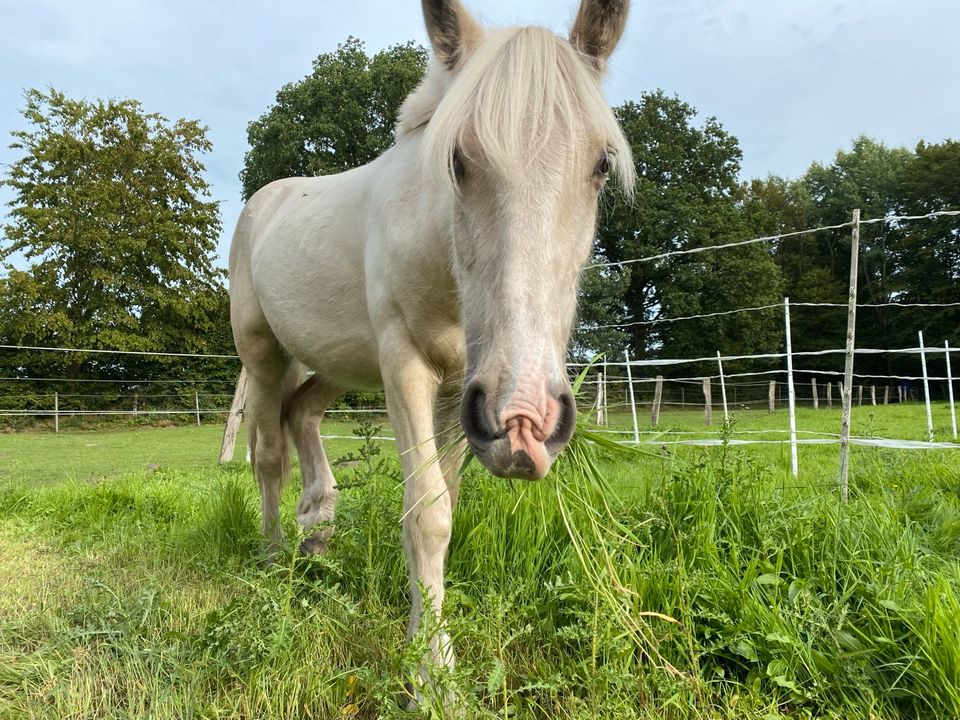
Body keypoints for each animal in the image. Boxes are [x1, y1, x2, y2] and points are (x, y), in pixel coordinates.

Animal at [229, 0, 632, 700]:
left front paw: (425, 646)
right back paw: (276, 558)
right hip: (264, 353)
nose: (524, 422)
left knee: (300, 413)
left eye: (602, 164)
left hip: (337, 362)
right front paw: (434, 678)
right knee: (270, 453)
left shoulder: (458, 393)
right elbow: (427, 515)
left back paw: (317, 540)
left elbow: (443, 509)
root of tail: (264, 201)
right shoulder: (408, 368)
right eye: (459, 161)